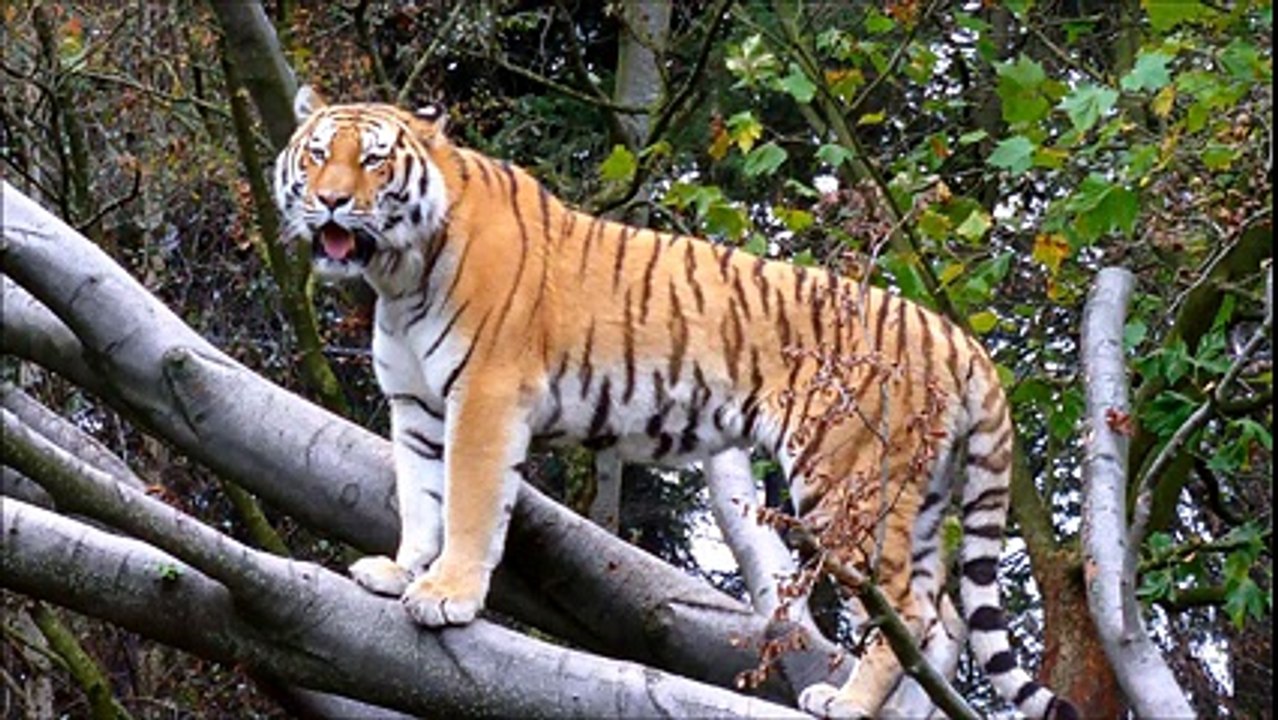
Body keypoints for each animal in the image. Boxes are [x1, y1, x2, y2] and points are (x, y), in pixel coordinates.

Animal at [273, 86, 1077, 720]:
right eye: (315, 156)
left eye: (374, 160)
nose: (331, 201)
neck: (398, 275)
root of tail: (954, 335)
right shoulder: (416, 408)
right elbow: (420, 498)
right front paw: (400, 571)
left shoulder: (485, 399)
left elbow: (469, 505)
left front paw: (446, 594)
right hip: (917, 494)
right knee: (942, 619)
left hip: (847, 482)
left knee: (908, 611)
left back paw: (847, 703)